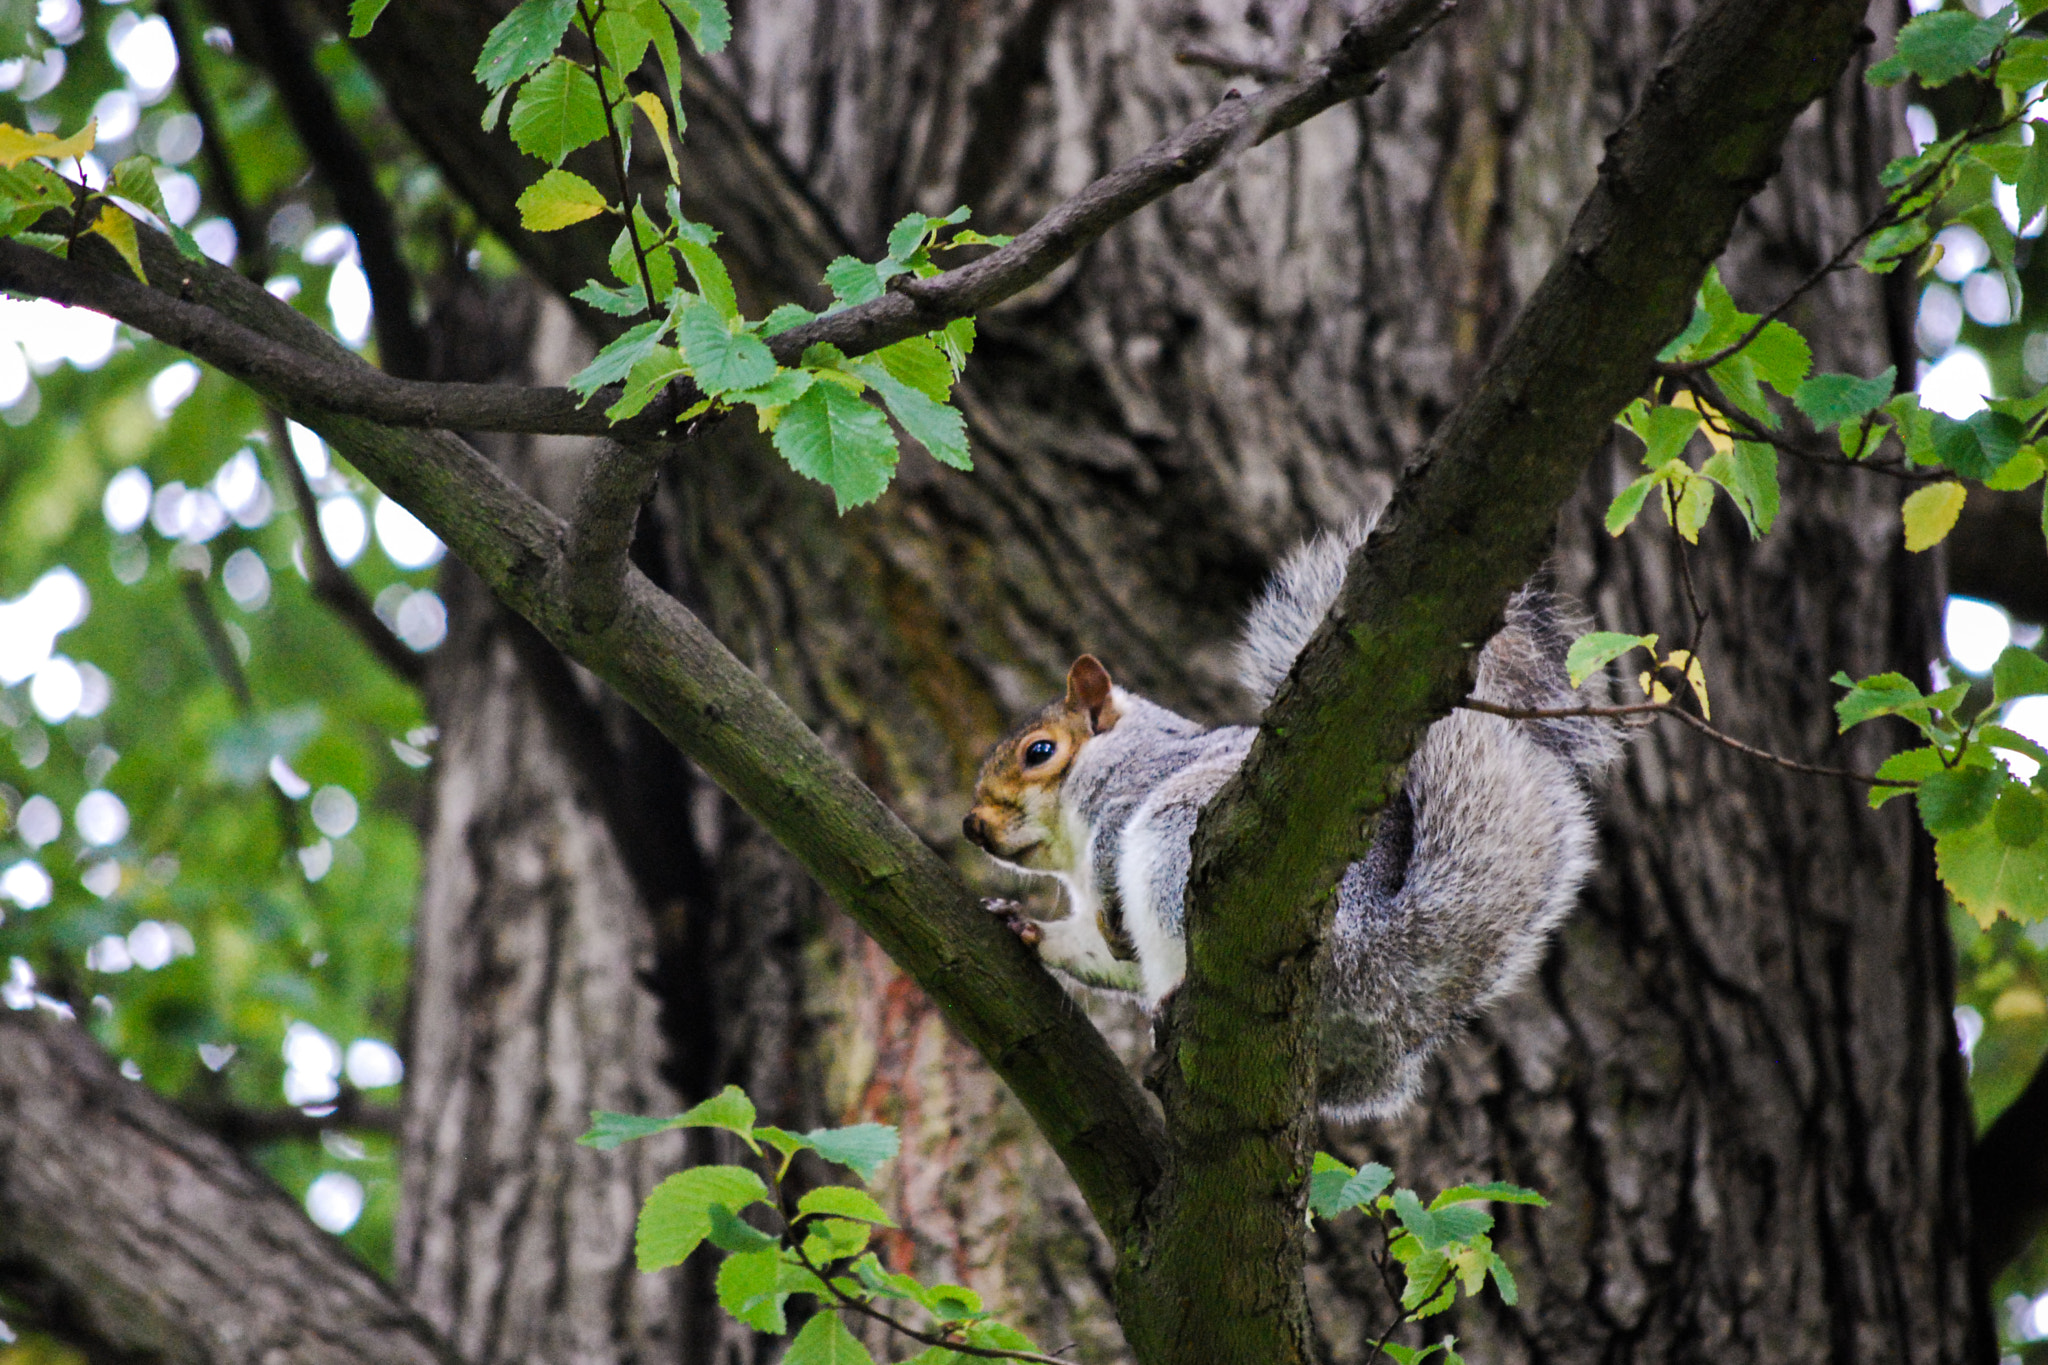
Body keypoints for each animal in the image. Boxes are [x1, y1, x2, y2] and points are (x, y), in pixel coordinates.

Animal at [958, 519, 1613, 1121]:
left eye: (1040, 752)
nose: (973, 826)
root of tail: (1391, 977)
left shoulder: (1134, 784)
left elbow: (1109, 865)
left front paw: (1097, 912)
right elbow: (1095, 953)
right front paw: (1024, 925)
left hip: (1177, 838)